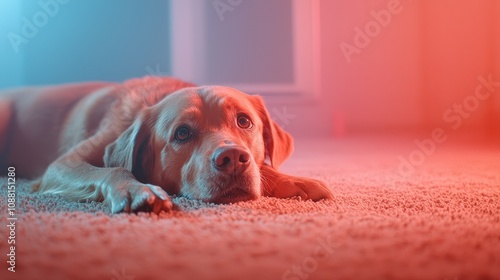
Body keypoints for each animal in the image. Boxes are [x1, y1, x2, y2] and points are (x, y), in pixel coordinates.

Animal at [1, 76, 334, 212]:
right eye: (182, 134)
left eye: (244, 121)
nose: (231, 158)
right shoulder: (61, 166)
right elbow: (114, 170)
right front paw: (136, 189)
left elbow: (266, 170)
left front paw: (296, 181)